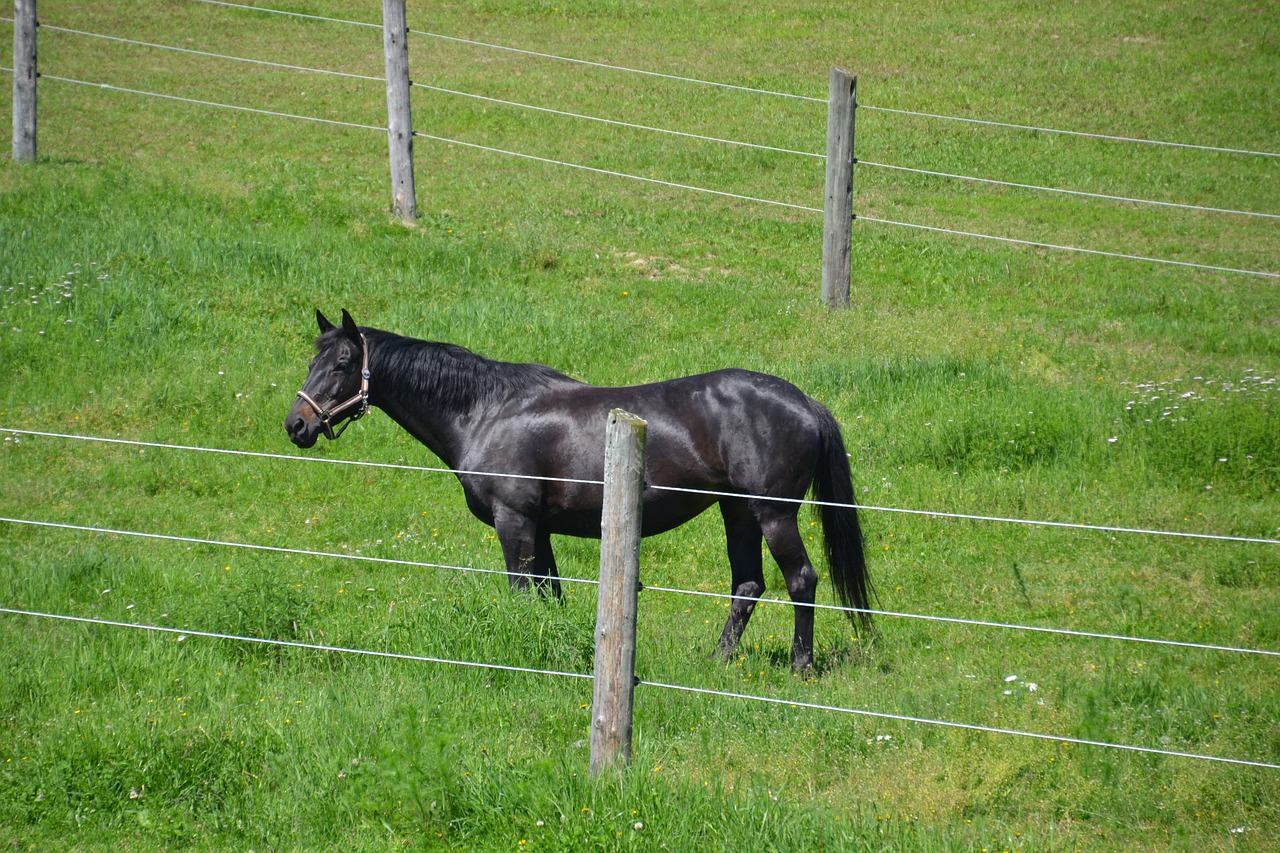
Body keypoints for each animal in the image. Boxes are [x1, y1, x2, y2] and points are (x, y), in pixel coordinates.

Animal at [286, 308, 870, 666]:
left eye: (342, 364)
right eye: (312, 360)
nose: (297, 425)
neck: (486, 411)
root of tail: (805, 402)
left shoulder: (515, 522)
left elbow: (522, 592)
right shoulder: (540, 529)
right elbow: (550, 593)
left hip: (773, 514)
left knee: (801, 580)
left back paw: (800, 665)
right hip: (738, 513)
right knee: (747, 585)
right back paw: (716, 660)